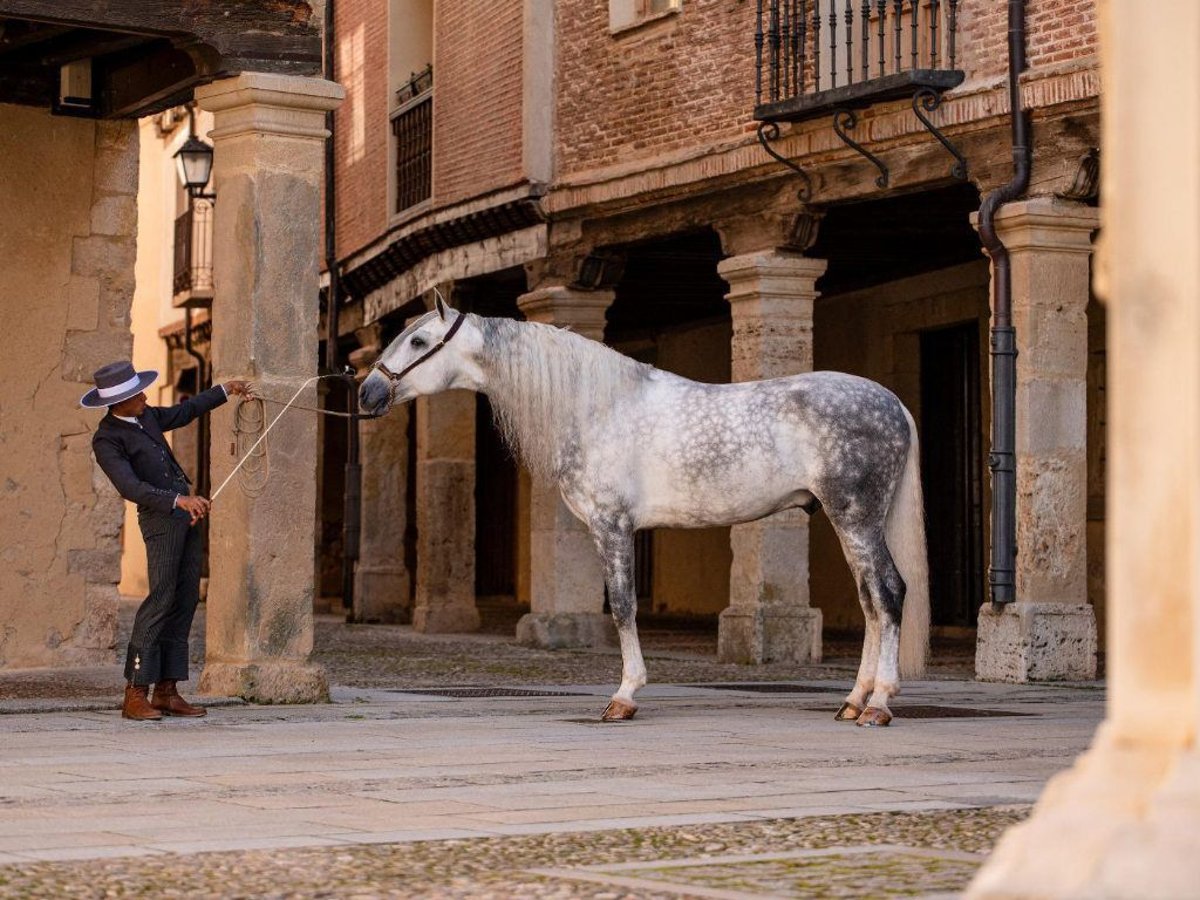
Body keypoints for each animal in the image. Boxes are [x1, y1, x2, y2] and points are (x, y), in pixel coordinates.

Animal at [360, 300, 931, 729]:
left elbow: (622, 607)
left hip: (856, 518)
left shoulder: (613, 526)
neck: (597, 407)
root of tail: (894, 405)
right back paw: (853, 701)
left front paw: (624, 696)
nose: (367, 392)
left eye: (417, 342)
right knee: (870, 601)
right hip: (849, 521)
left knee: (888, 593)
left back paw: (879, 705)